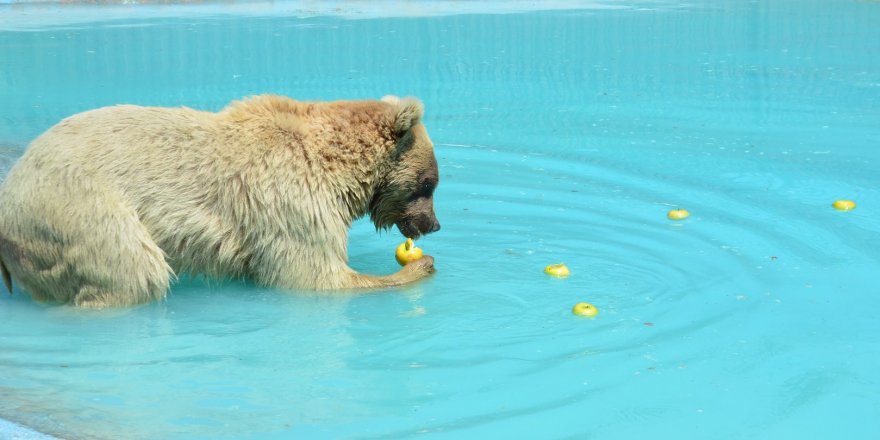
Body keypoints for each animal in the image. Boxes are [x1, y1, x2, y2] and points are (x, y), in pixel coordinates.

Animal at [0, 94, 440, 308]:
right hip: (78, 206)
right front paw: (416, 269)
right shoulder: (290, 200)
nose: (433, 225)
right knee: (130, 269)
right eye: (429, 184)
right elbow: (314, 275)